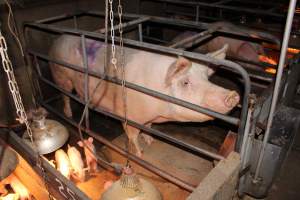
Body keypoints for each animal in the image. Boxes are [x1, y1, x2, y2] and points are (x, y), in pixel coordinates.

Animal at [50, 34, 240, 156]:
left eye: (207, 78)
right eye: (185, 82)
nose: (233, 95)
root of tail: (58, 38)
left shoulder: (148, 117)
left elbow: (148, 127)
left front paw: (151, 141)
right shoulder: (128, 114)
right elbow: (132, 134)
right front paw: (140, 153)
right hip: (61, 75)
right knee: (64, 95)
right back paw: (68, 114)